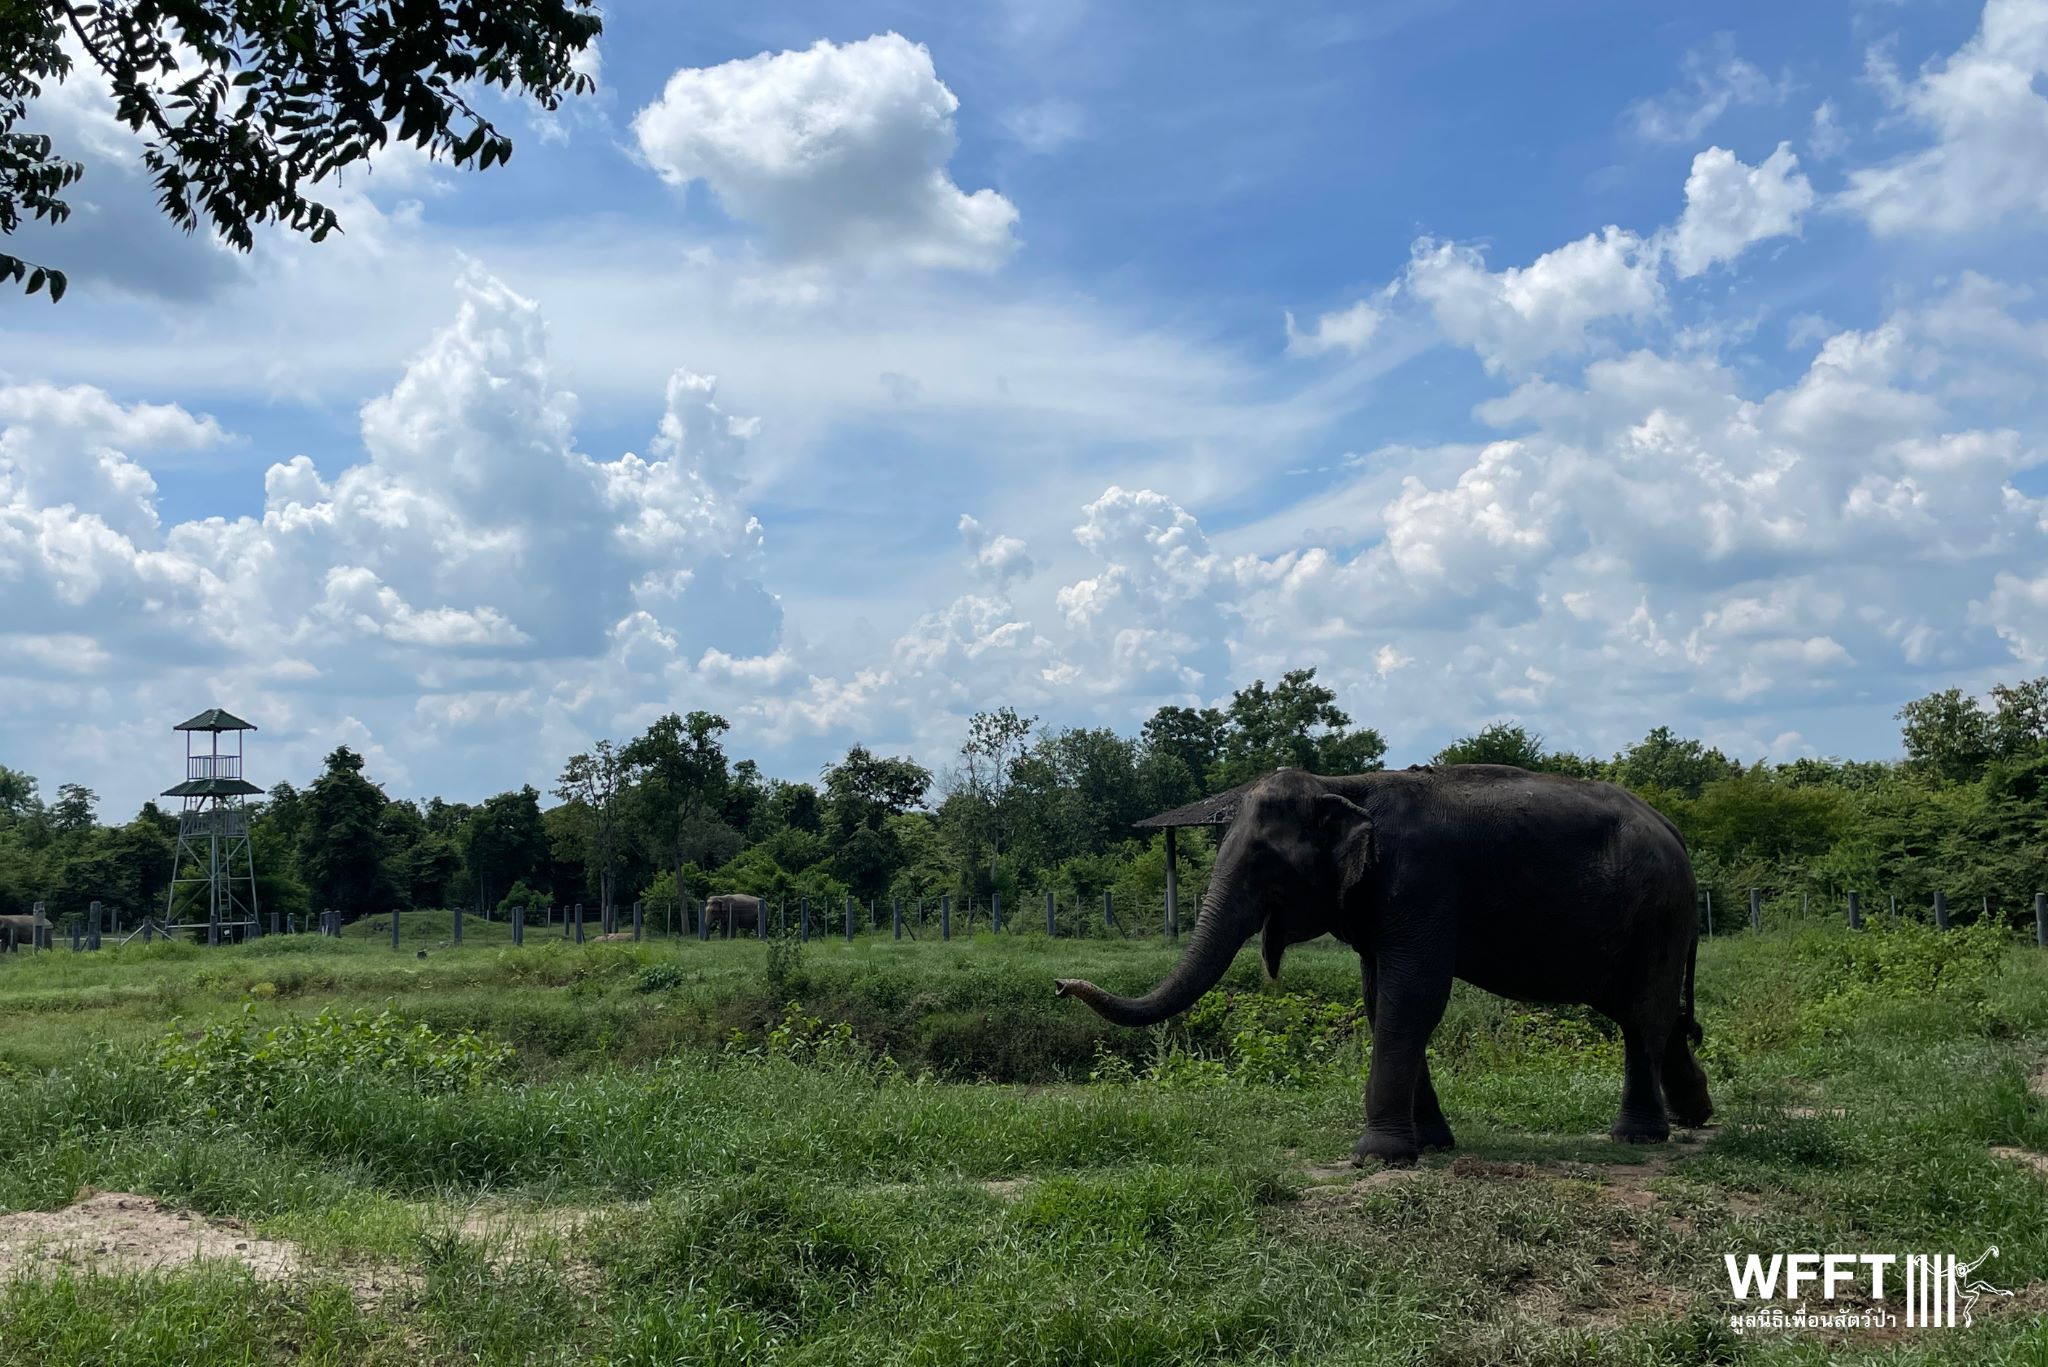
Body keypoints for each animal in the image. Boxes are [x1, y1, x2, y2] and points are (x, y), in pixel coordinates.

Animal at [1056, 770, 1712, 1164]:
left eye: (1265, 862)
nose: (1061, 984)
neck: (1343, 785)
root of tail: (1675, 829)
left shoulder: (1420, 882)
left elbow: (1412, 995)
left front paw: (1377, 1156)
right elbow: (1379, 1001)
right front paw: (1433, 1146)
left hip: (1658, 911)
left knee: (1641, 1015)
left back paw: (1638, 1136)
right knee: (1653, 1013)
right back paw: (1695, 1117)